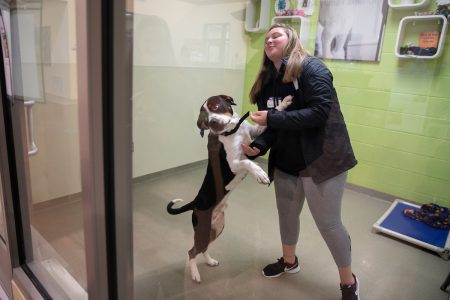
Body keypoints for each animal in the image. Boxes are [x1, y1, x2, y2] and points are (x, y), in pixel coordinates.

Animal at [166, 94, 292, 284]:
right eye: (205, 119)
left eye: (215, 106)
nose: (213, 122)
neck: (233, 130)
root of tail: (195, 202)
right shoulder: (234, 163)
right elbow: (247, 162)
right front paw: (260, 174)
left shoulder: (255, 133)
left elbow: (271, 115)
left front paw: (284, 103)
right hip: (203, 229)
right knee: (191, 252)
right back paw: (195, 274)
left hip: (216, 228)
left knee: (203, 248)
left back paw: (210, 261)